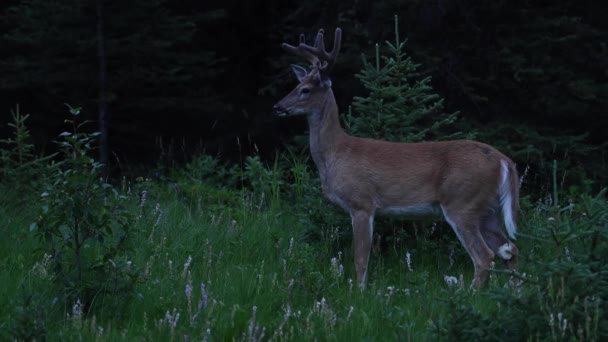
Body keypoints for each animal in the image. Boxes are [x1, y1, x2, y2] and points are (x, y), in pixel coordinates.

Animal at [274, 27, 520, 288]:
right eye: (296, 84)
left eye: (305, 90)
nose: (277, 106)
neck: (336, 153)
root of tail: (504, 161)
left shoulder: (362, 202)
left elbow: (360, 258)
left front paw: (359, 291)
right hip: (488, 208)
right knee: (510, 249)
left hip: (462, 202)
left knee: (485, 257)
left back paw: (471, 293)